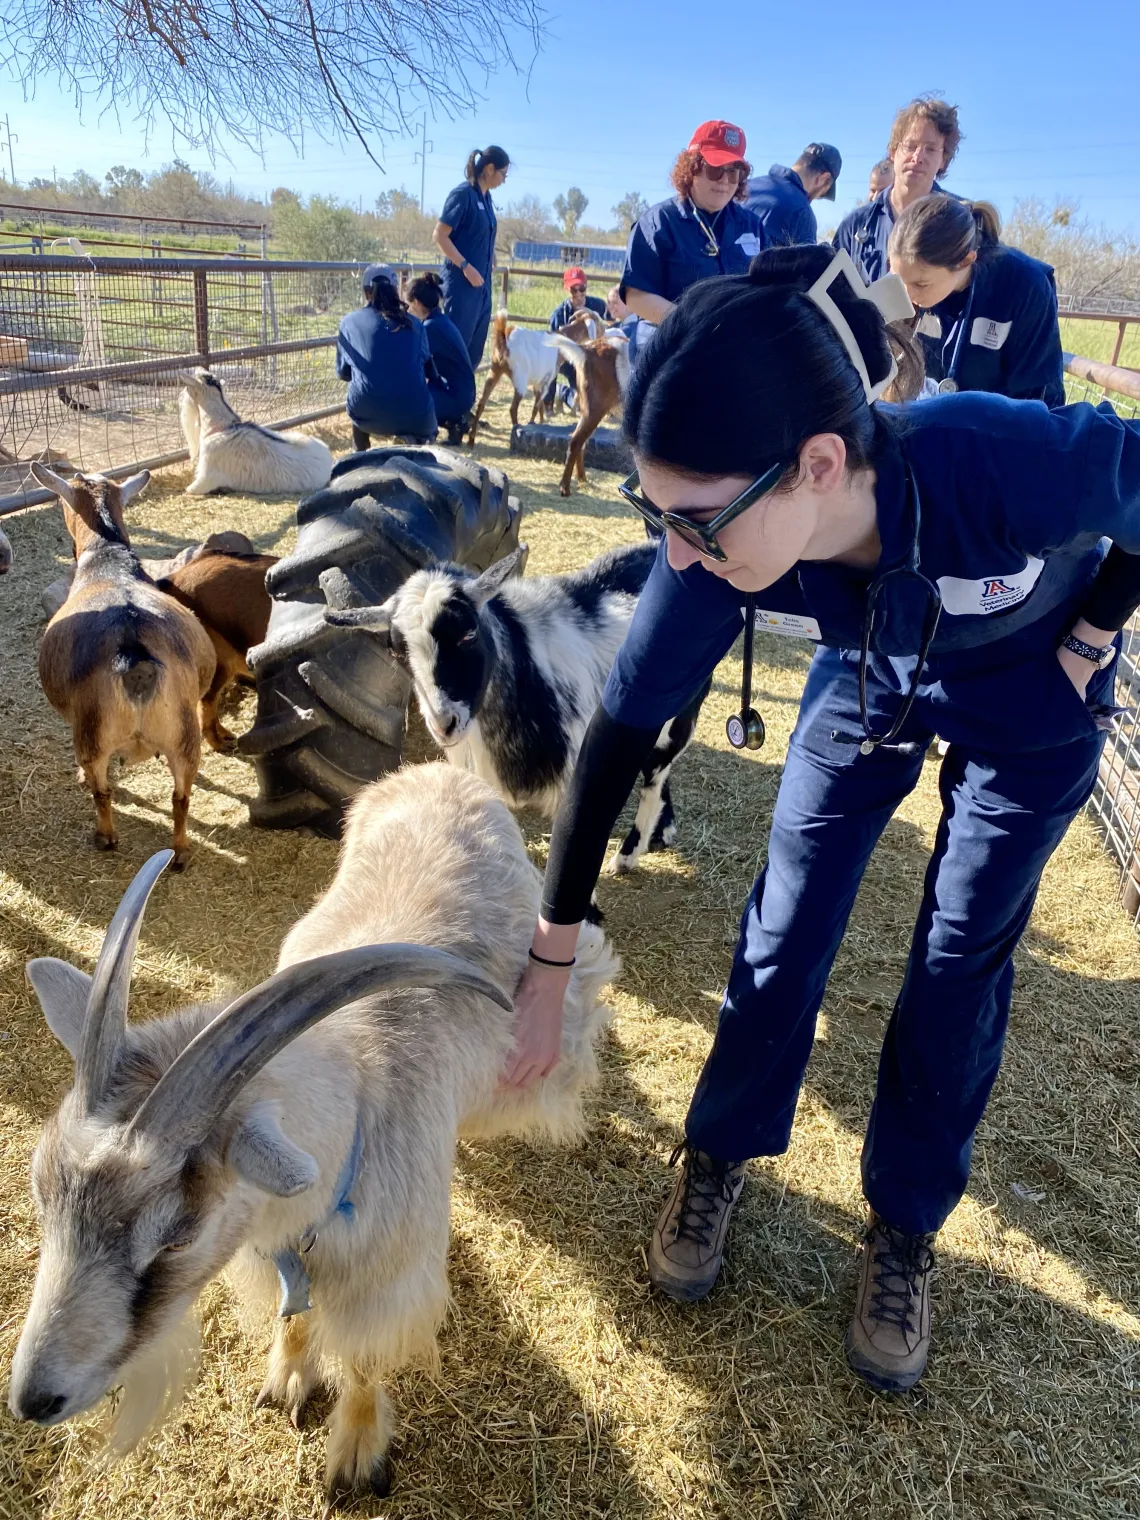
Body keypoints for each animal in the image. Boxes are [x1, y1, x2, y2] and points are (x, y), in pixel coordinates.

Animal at [8, 772, 620, 1507]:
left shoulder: (386, 1282)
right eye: (41, 1189)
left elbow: (363, 1360)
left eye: (177, 1237)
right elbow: (295, 1315)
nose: (33, 1401)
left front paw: (356, 1451)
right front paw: (291, 1378)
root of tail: (441, 772)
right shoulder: (277, 1246)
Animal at [325, 544, 711, 881]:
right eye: (395, 649)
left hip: (682, 712)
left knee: (656, 773)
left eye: (469, 633)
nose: (444, 725)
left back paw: (629, 853)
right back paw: (662, 830)